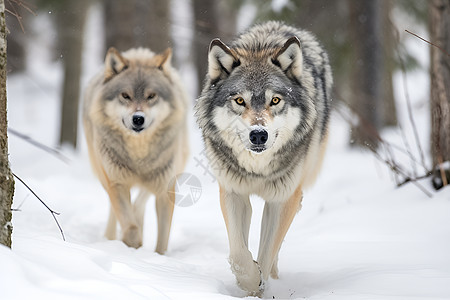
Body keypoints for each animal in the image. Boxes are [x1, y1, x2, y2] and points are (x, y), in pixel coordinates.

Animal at [82, 47, 188, 253]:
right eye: (125, 95)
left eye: (151, 96)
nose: (138, 118)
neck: (139, 154)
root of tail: (138, 53)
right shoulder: (117, 182)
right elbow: (129, 227)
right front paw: (132, 245)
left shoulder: (165, 188)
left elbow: (163, 238)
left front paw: (158, 256)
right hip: (104, 175)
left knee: (140, 202)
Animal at [195, 21, 332, 296]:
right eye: (240, 100)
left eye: (275, 100)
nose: (258, 134)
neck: (257, 169)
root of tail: (279, 25)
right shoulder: (233, 193)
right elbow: (239, 254)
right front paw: (249, 282)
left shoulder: (281, 200)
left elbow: (267, 251)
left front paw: (260, 288)